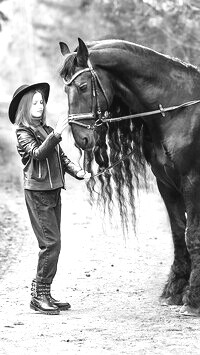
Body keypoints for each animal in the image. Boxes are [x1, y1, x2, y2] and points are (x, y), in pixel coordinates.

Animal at [58, 38, 200, 318]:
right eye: (65, 89)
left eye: (82, 87)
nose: (82, 139)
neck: (177, 111)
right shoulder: (166, 184)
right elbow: (179, 232)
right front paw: (175, 290)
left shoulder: (192, 182)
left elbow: (191, 235)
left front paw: (192, 300)